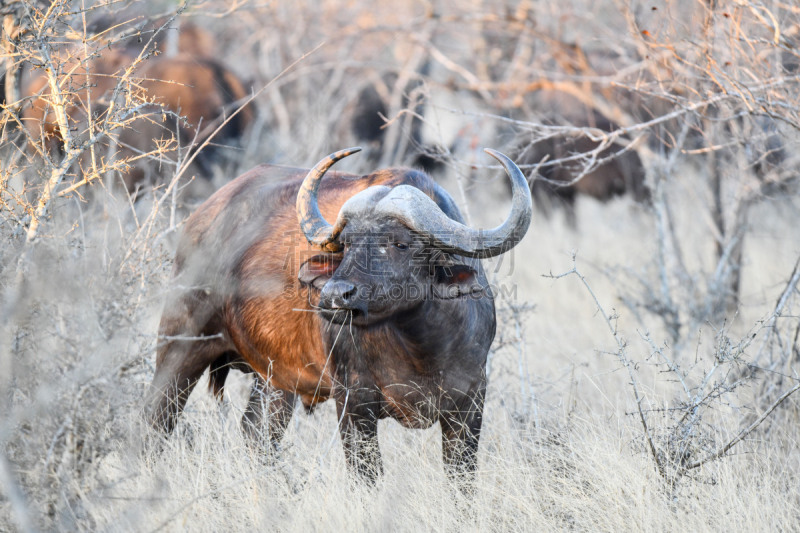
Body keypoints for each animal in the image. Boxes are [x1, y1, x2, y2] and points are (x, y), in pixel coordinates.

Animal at [145, 147, 532, 482]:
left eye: (400, 243)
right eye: (346, 243)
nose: (334, 295)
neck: (420, 348)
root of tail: (202, 219)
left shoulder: (469, 408)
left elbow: (461, 482)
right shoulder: (354, 406)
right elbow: (368, 477)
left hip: (273, 379)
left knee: (257, 434)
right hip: (180, 346)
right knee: (154, 421)